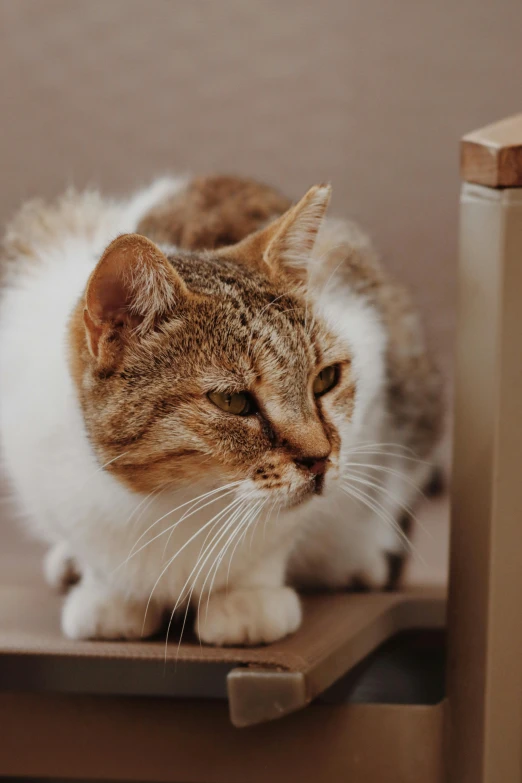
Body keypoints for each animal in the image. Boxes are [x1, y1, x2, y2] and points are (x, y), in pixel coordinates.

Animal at [0, 175, 440, 648]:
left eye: (326, 379)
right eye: (232, 401)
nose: (320, 459)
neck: (174, 500)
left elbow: (276, 539)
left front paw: (245, 599)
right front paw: (109, 595)